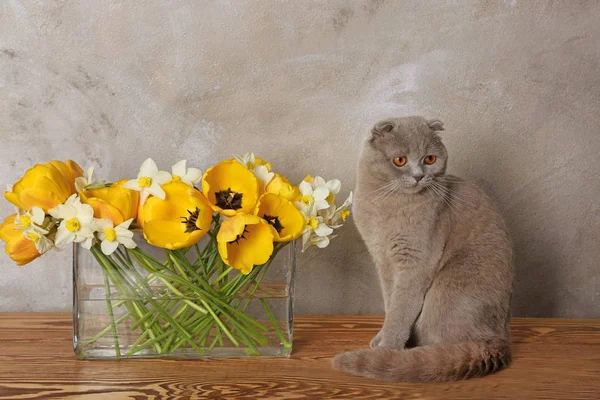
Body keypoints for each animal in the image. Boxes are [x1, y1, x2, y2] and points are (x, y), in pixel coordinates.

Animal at [330, 115, 512, 382]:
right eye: (400, 160)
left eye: (430, 159)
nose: (418, 175)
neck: (385, 206)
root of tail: (500, 338)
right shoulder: (383, 261)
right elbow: (391, 303)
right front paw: (382, 339)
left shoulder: (416, 262)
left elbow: (402, 308)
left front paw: (387, 348)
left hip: (448, 288)